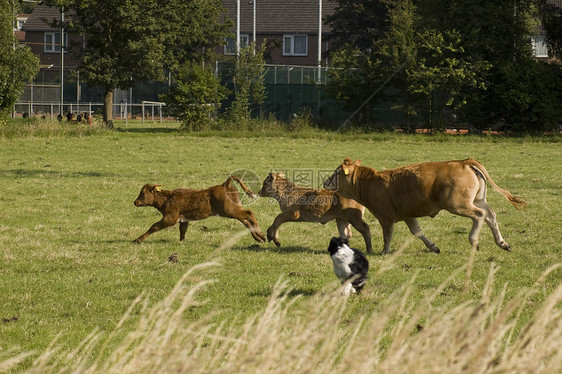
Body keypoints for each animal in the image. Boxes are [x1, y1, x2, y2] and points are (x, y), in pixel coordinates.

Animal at [133, 177, 264, 244]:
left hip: (229, 210)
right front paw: (181, 241)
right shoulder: (184, 219)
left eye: (143, 193)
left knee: (249, 213)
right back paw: (258, 237)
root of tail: (224, 185)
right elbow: (183, 230)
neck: (167, 198)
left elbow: (154, 226)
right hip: (233, 210)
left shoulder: (170, 218)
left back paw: (261, 234)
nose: (135, 202)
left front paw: (138, 239)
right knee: (246, 220)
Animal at [324, 158, 524, 254]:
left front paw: (384, 252)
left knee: (479, 215)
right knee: (490, 214)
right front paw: (432, 247)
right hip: (477, 199)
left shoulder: (386, 217)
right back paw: (502, 242)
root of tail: (463, 162)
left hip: (459, 205)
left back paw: (474, 240)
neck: (372, 183)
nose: (326, 182)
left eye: (337, 173)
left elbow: (387, 236)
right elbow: (417, 232)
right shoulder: (408, 215)